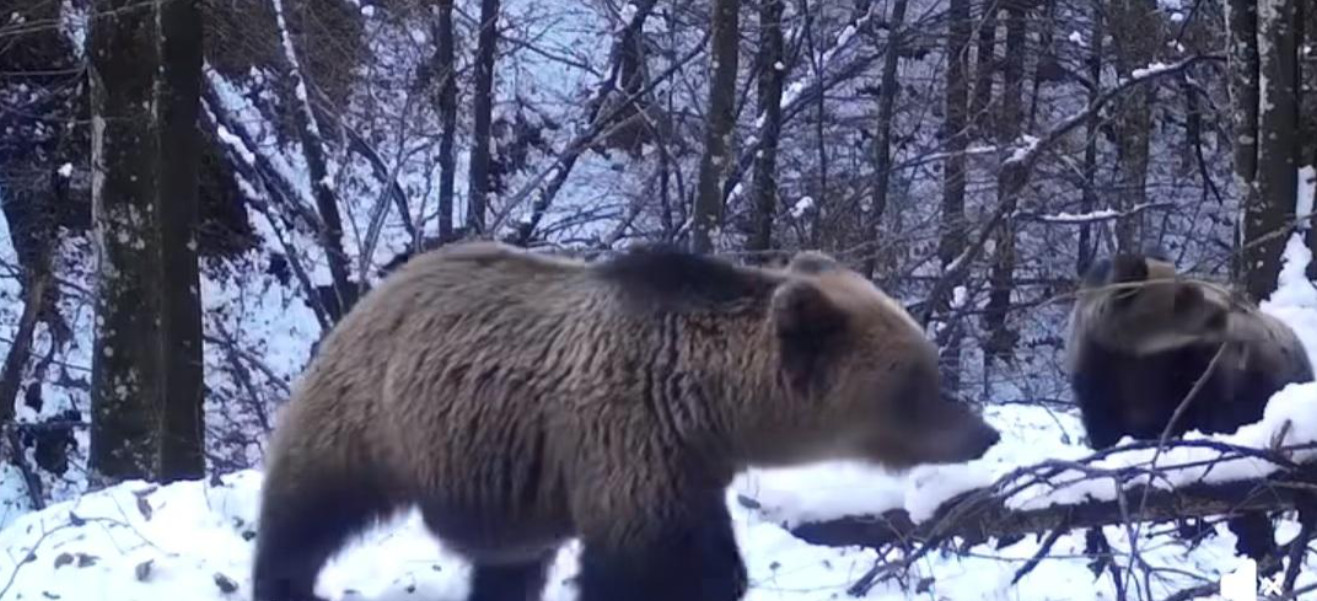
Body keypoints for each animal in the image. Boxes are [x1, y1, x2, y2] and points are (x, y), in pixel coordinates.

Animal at [254, 241, 995, 598]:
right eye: (918, 379)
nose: (983, 431)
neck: (706, 401)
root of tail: (381, 289)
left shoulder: (688, 465)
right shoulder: (630, 441)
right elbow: (662, 571)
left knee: (507, 564)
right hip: (369, 415)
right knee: (306, 512)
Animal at [1064, 251, 1311, 569]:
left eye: (1189, 288)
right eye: (1181, 296)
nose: (1226, 311)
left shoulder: (1186, 376)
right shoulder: (1102, 389)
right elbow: (1108, 440)